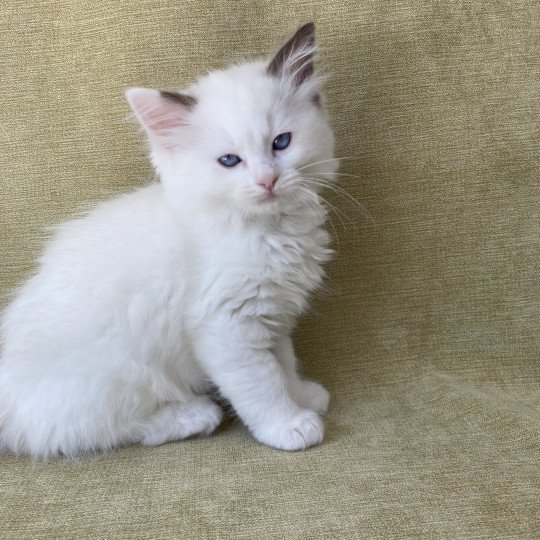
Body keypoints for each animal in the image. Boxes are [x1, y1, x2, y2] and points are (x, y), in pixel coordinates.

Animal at [0, 23, 338, 458]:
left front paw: (302, 395)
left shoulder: (273, 314)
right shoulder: (226, 326)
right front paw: (288, 425)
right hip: (120, 370)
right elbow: (262, 381)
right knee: (91, 430)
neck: (266, 230)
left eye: (281, 142)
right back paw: (194, 415)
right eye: (230, 161)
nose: (267, 180)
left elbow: (284, 362)